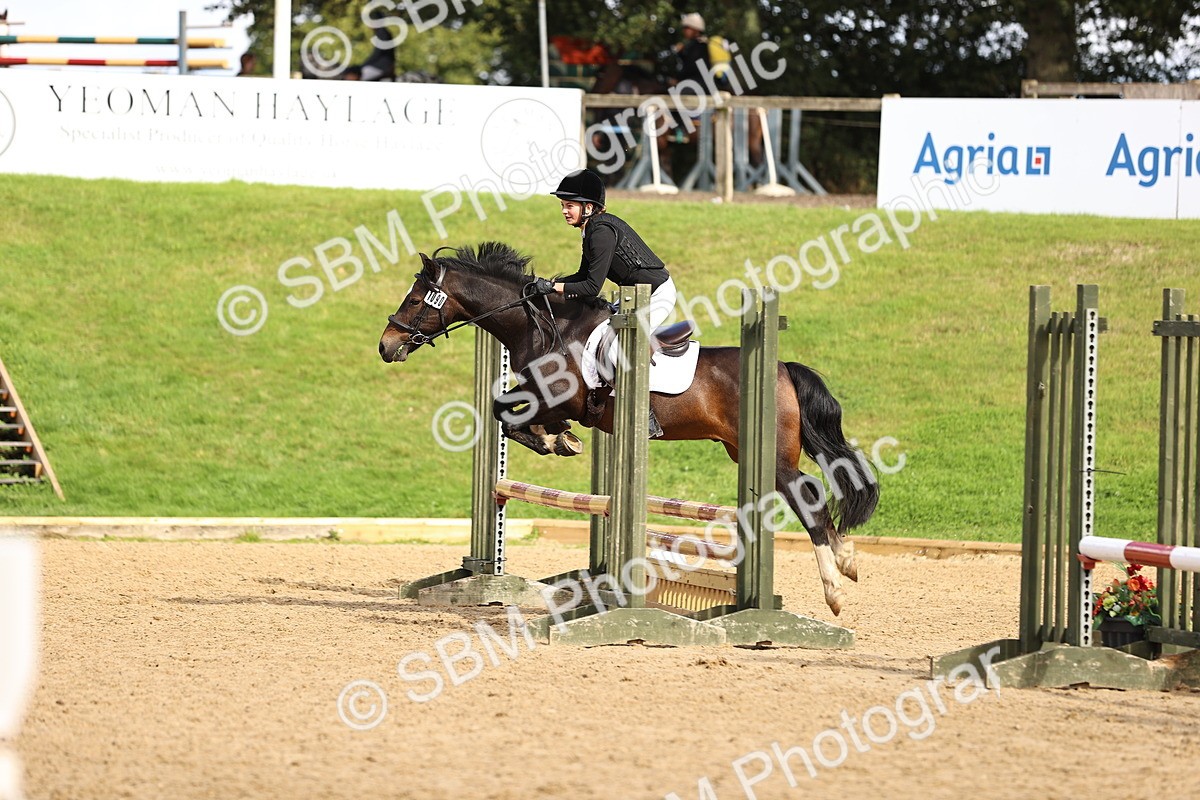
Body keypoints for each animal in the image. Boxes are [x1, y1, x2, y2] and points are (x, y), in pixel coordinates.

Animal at [378, 243, 879, 615]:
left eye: (416, 299)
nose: (386, 346)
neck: (542, 325)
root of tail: (781, 367)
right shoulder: (543, 396)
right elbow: (506, 409)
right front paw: (559, 437)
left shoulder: (559, 395)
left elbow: (507, 411)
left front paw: (555, 439)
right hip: (746, 452)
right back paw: (846, 561)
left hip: (771, 456)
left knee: (808, 495)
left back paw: (836, 584)